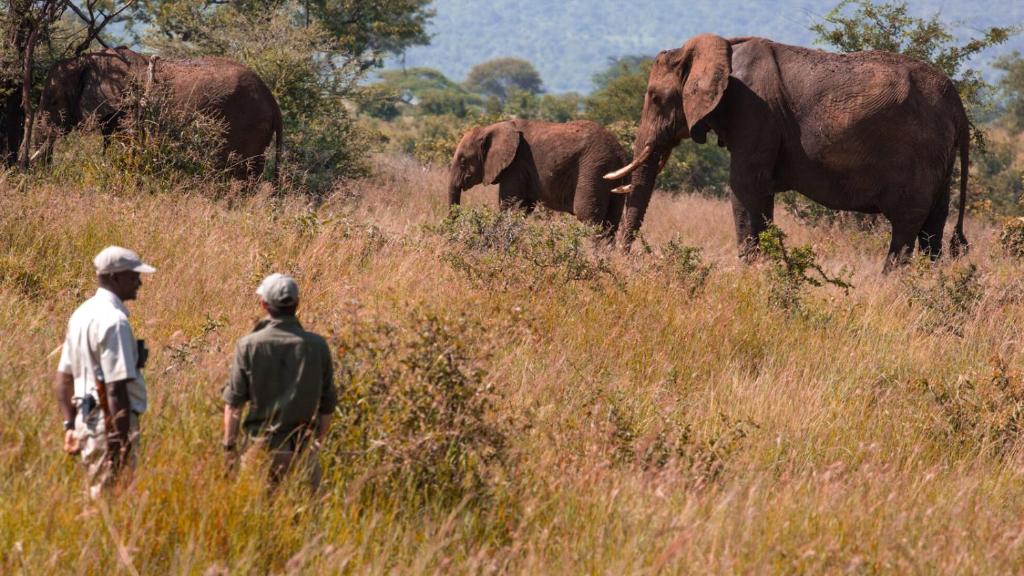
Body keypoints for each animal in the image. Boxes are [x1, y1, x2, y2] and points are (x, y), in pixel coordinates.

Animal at [37, 48, 282, 180]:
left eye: (53, 100)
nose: (44, 174)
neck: (87, 60)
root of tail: (272, 100)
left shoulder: (128, 107)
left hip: (246, 125)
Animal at [602, 34, 970, 268]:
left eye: (655, 98)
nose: (625, 259)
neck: (722, 47)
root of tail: (957, 104)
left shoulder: (754, 111)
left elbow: (744, 188)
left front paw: (747, 271)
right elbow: (760, 196)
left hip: (919, 154)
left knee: (906, 226)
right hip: (940, 159)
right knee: (932, 230)